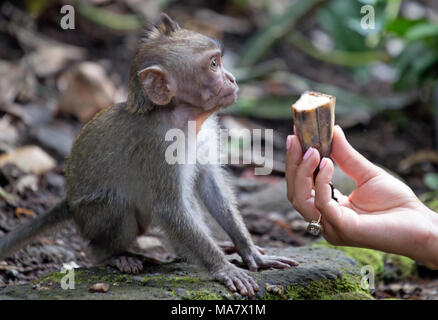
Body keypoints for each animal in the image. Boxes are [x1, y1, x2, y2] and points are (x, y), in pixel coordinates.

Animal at [0, 13, 298, 298]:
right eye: (214, 64)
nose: (233, 79)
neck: (182, 117)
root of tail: (69, 201)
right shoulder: (158, 147)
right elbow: (169, 208)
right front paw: (223, 268)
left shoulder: (207, 131)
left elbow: (210, 185)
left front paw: (250, 251)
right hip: (90, 215)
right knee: (117, 205)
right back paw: (114, 255)